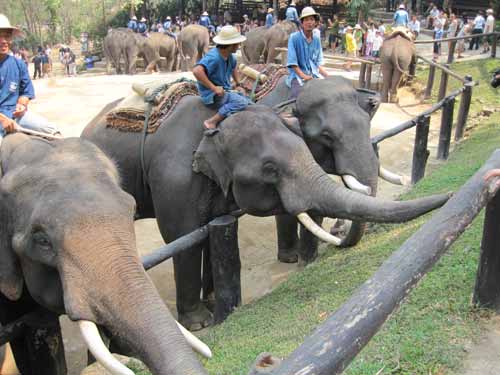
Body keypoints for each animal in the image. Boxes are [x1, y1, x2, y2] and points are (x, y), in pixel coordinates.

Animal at [82, 97, 450, 332]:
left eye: (307, 146)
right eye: (270, 169)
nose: (449, 195)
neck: (216, 126)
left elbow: (212, 227)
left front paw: (214, 301)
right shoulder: (173, 179)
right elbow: (182, 235)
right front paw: (200, 323)